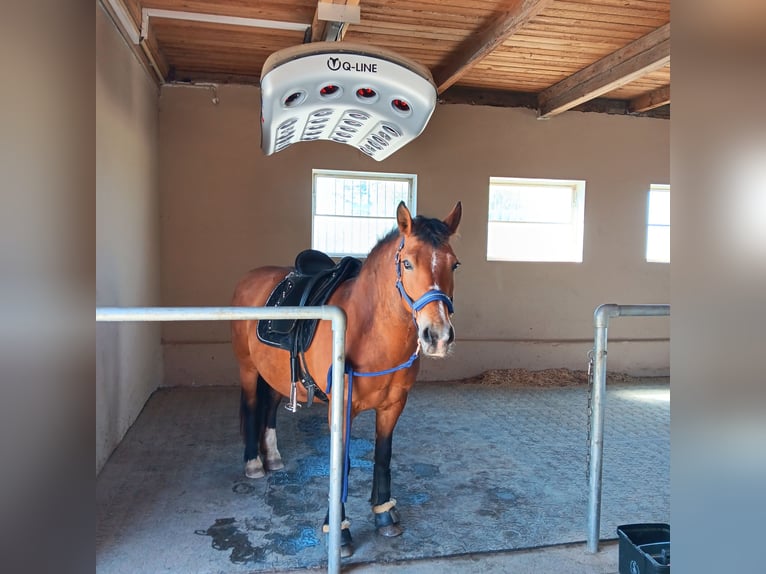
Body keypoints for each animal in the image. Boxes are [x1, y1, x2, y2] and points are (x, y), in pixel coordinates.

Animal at [230, 201, 462, 556]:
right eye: (407, 263)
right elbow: (341, 465)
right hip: (247, 368)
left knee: (270, 406)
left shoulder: (393, 406)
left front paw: (384, 515)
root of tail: (250, 278)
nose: (437, 336)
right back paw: (254, 462)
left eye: (454, 264)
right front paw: (338, 532)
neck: (368, 331)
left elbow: (382, 456)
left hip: (275, 371)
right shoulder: (339, 408)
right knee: (255, 406)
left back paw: (273, 457)